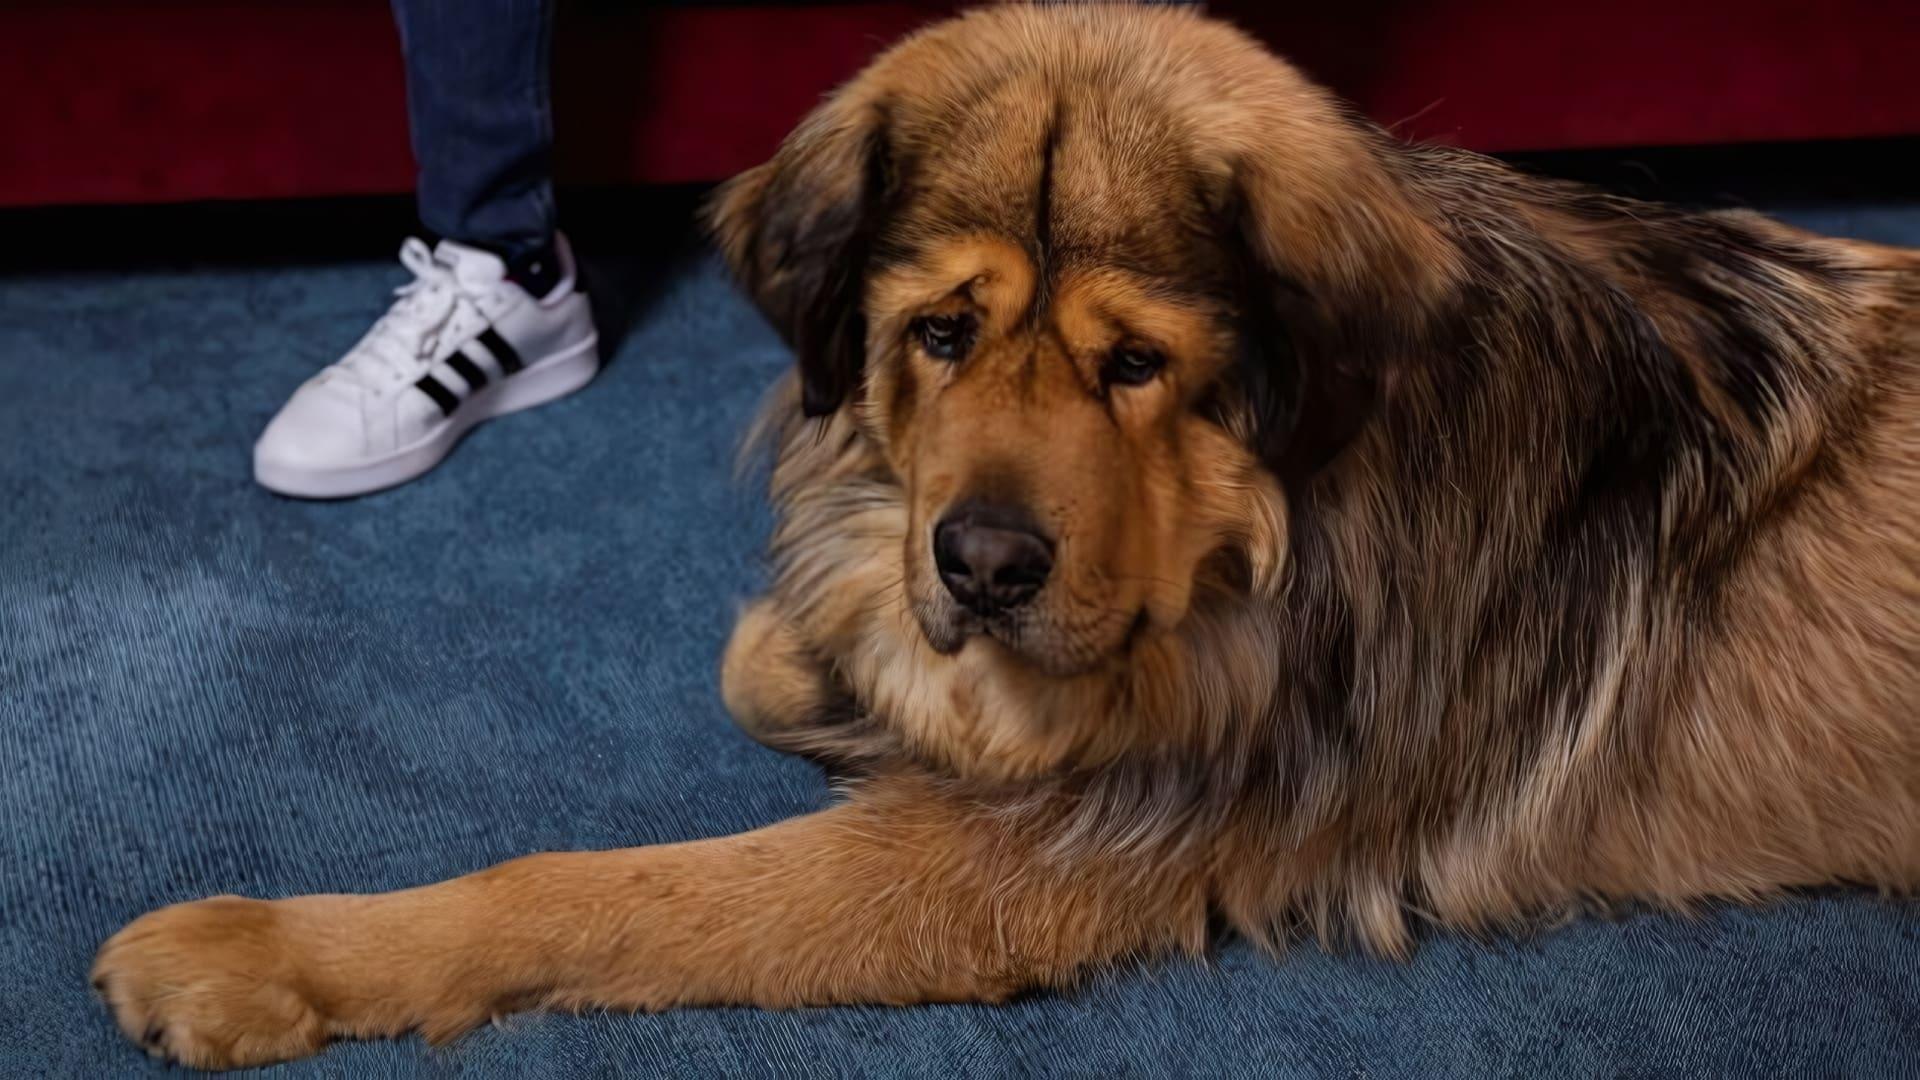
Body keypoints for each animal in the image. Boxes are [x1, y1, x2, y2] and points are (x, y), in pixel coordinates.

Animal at [90, 4, 1920, 1060]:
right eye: (943, 334)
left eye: (1136, 365)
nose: (983, 567)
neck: (1286, 504)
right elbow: (775, 652)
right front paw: (840, 661)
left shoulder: (1026, 862)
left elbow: (598, 893)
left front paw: (257, 953)